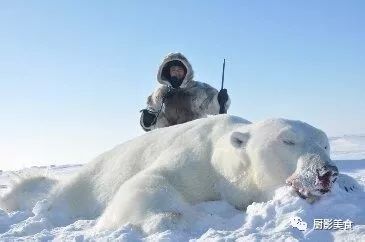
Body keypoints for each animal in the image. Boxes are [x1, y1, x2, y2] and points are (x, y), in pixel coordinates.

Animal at [0, 115, 336, 233]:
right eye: (287, 140)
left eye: (325, 143)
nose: (326, 172)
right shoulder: (196, 159)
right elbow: (150, 181)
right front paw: (169, 218)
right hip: (80, 188)